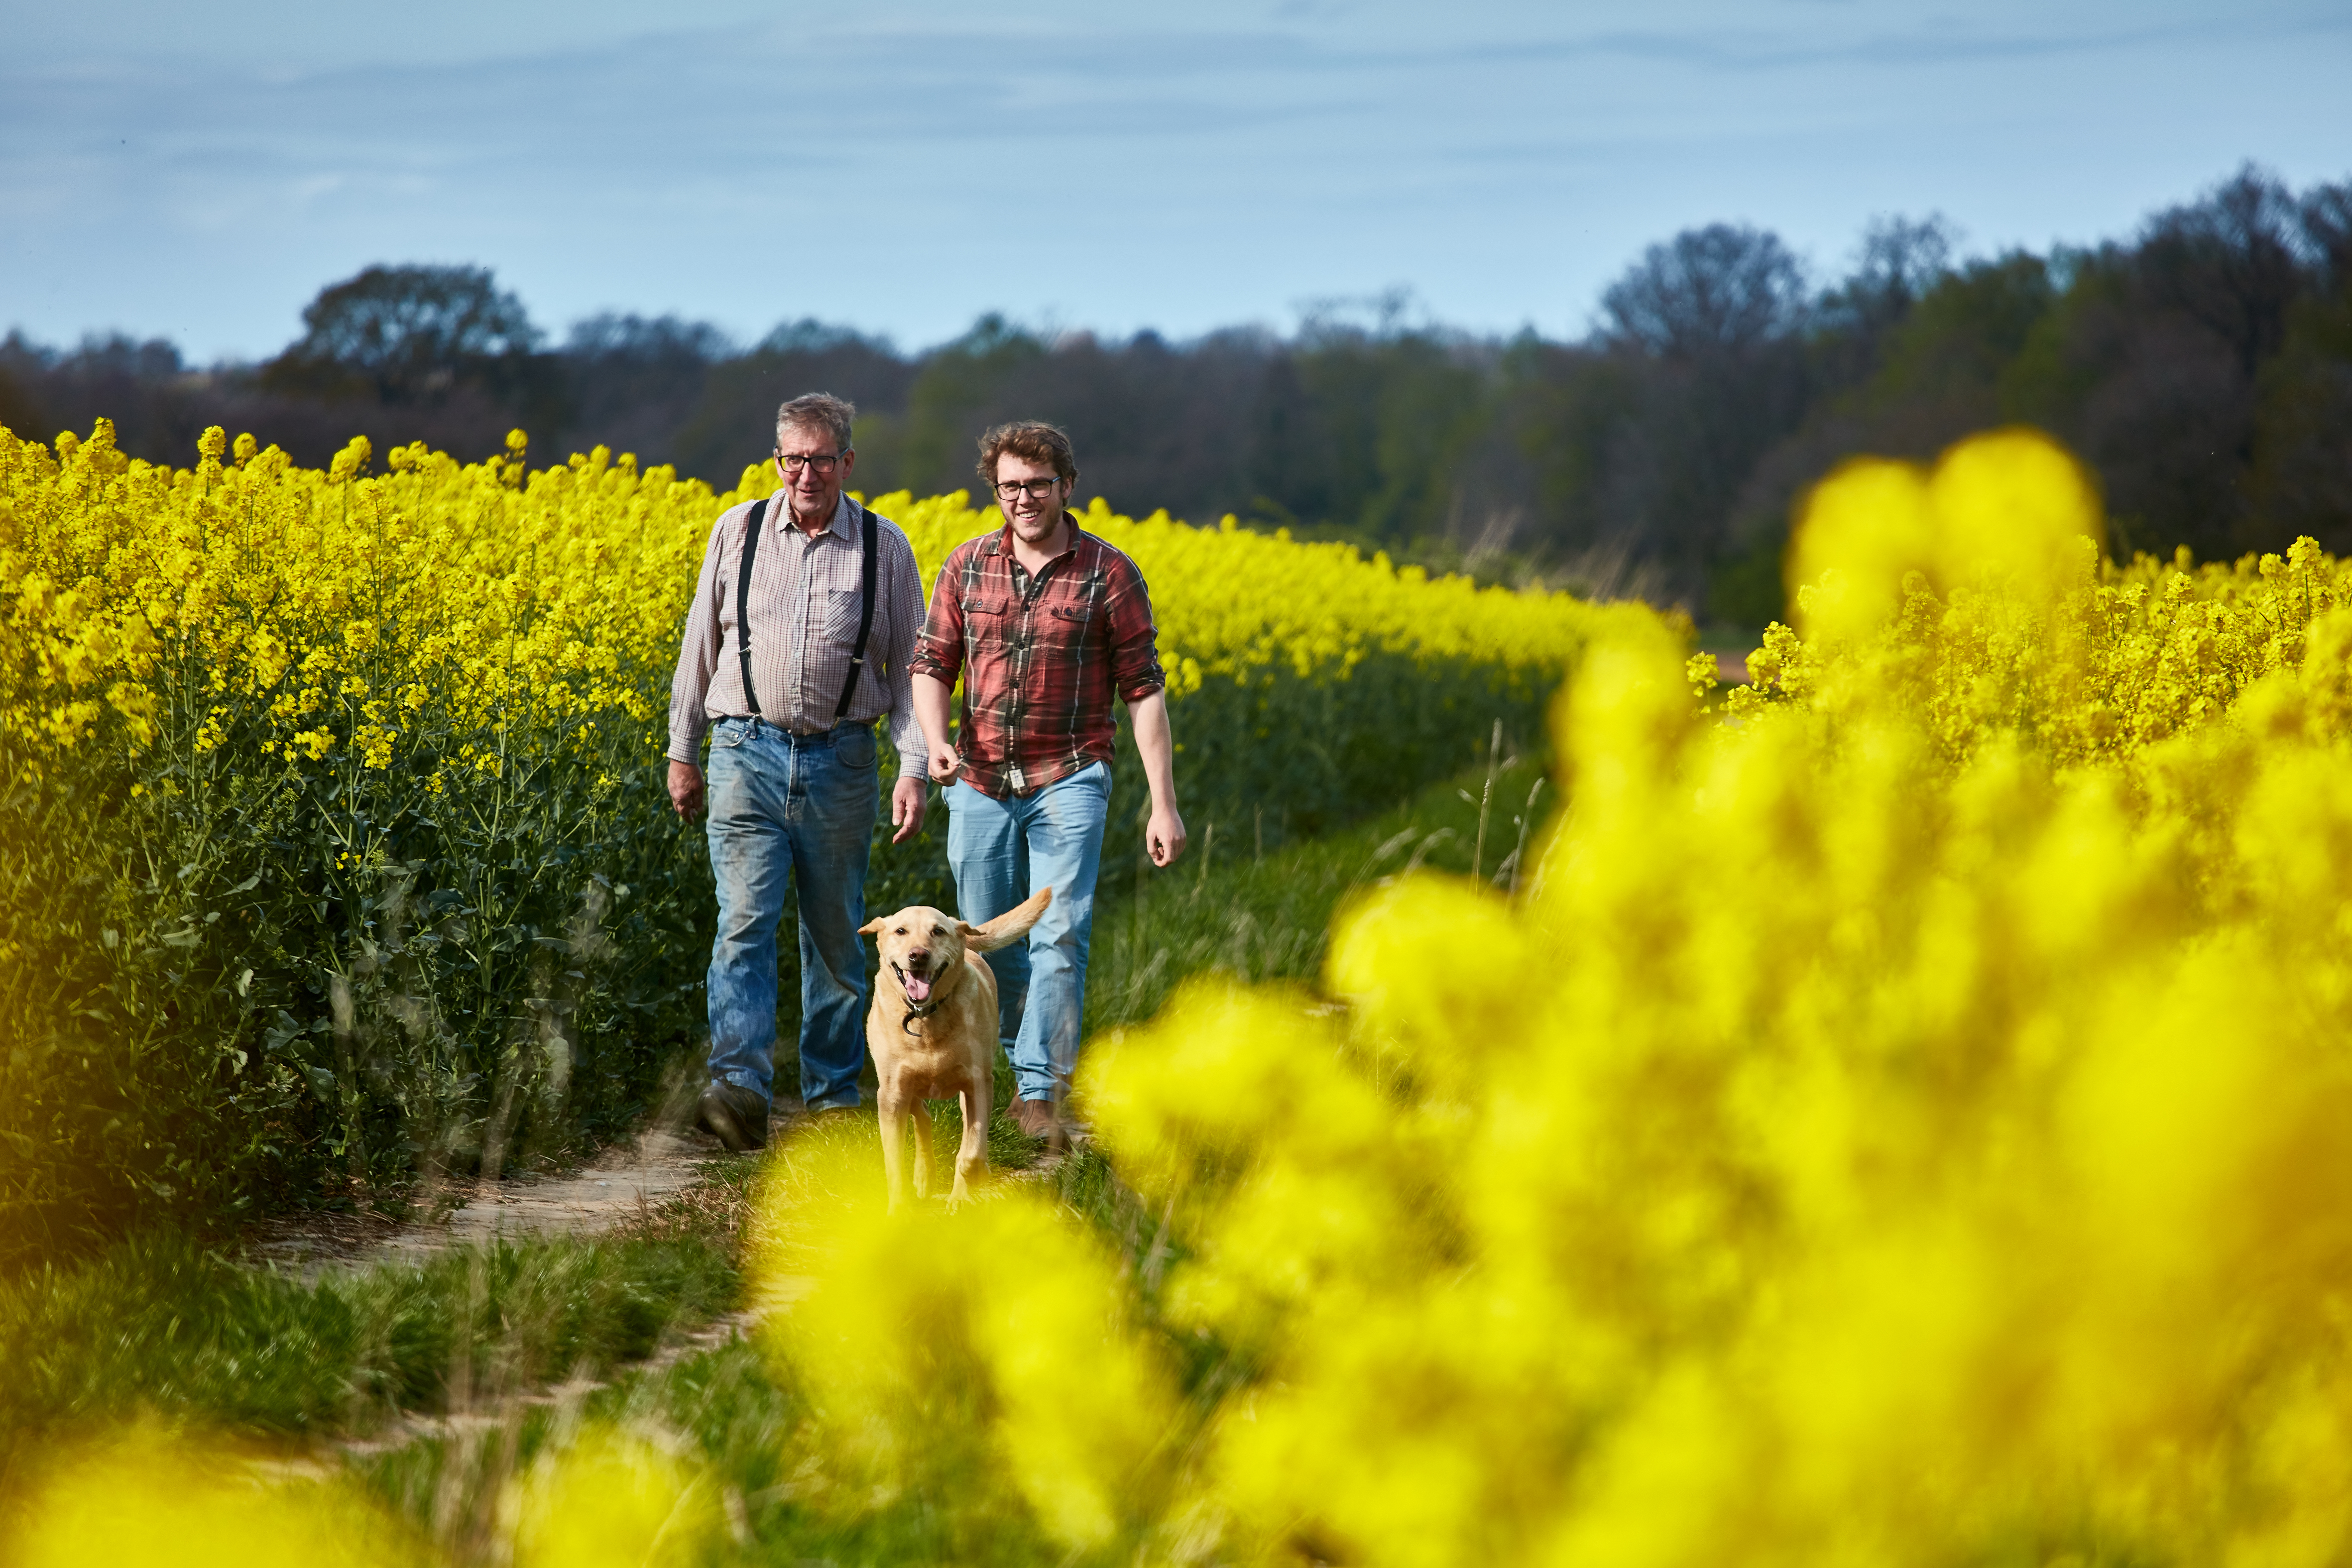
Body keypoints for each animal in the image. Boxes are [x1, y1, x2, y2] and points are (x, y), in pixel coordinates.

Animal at [860, 889, 1054, 1213]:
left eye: (937, 932)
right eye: (901, 931)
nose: (918, 955)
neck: (925, 1018)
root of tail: (964, 932)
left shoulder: (978, 1084)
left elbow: (972, 1150)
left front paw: (971, 1180)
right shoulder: (891, 1095)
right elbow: (894, 1162)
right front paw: (898, 1210)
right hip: (901, 1088)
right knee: (923, 1117)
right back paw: (924, 1175)